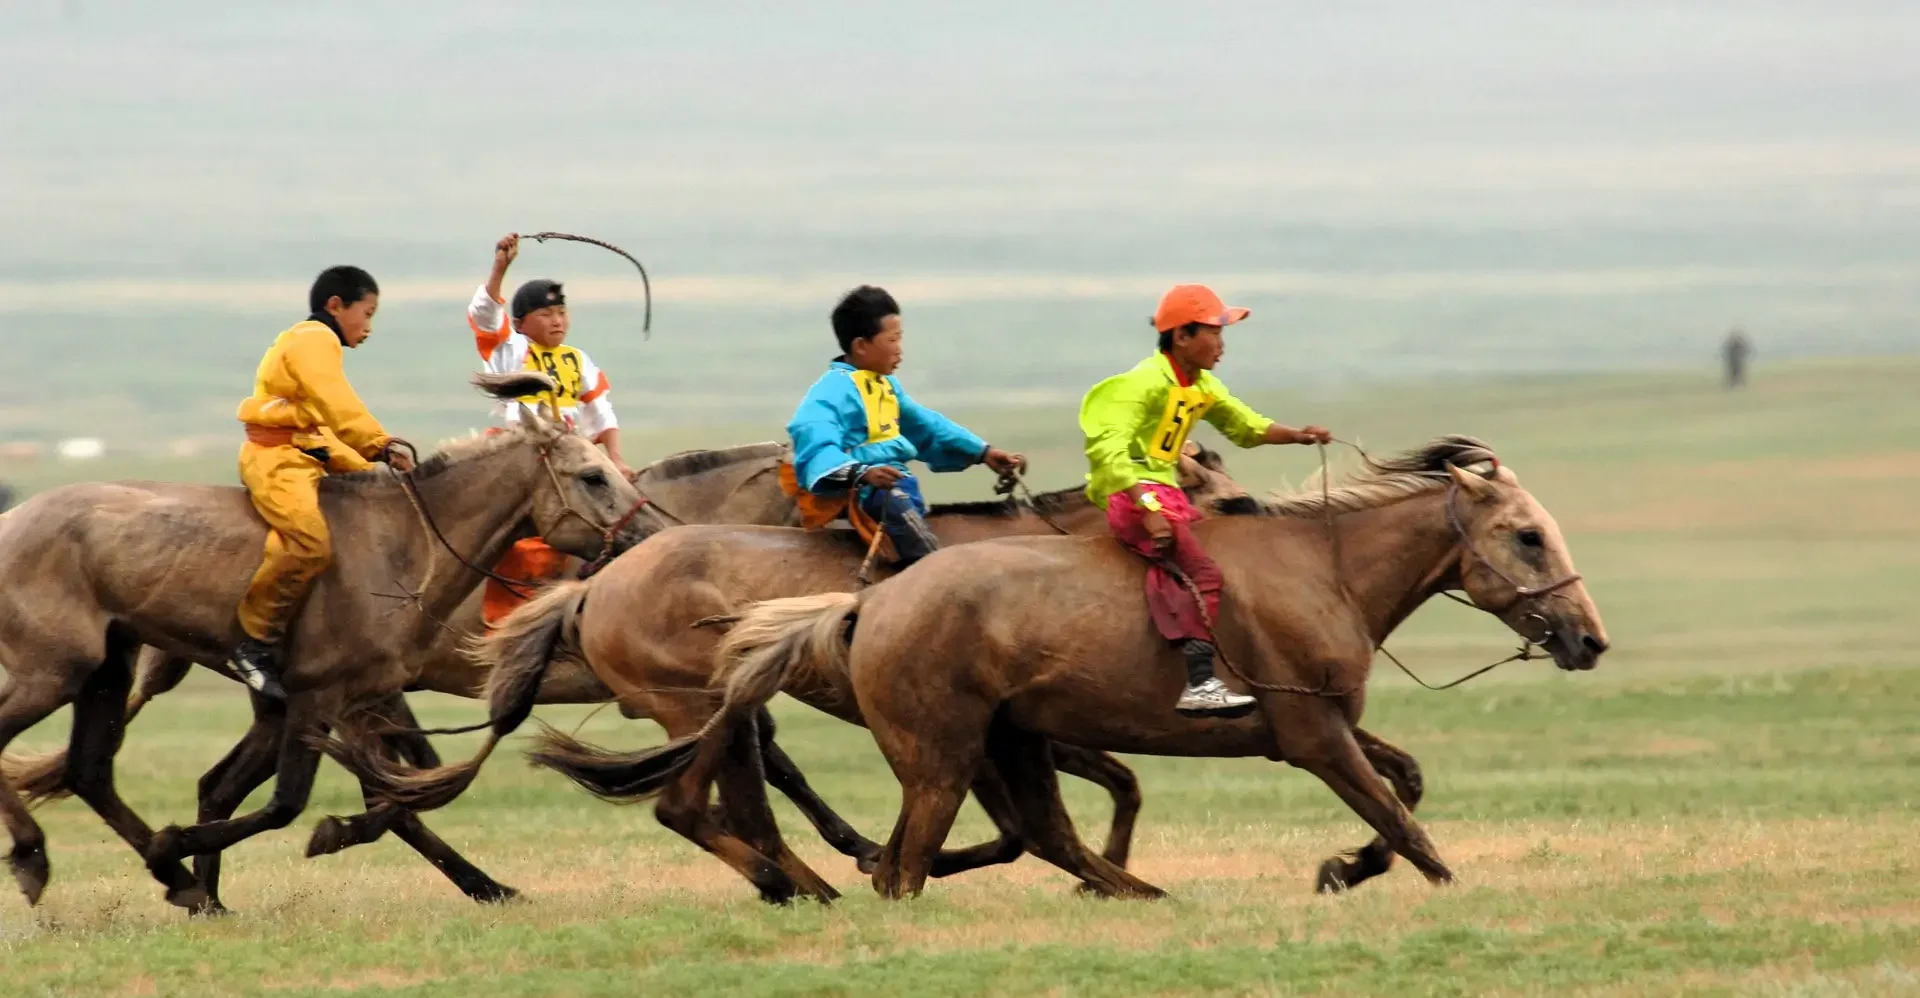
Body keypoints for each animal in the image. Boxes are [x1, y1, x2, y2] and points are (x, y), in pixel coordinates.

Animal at [0, 372, 660, 911]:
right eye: (592, 475)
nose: (650, 538)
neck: (404, 546)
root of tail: (13, 521)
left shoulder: (360, 701)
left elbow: (396, 796)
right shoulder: (319, 698)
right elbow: (291, 803)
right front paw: (179, 844)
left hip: (105, 670)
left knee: (92, 771)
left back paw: (188, 887)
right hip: (52, 672)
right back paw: (41, 859)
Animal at [337, 446, 1252, 903]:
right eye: (1222, 494)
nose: (1253, 511)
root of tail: (595, 586)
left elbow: (1102, 793)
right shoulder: (992, 724)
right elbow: (1032, 819)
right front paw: (896, 864)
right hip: (694, 709)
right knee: (699, 806)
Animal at [537, 436, 1611, 901]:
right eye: (1525, 535)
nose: (1588, 638)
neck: (1327, 571)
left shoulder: (1315, 724)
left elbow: (1405, 786)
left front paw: (1342, 870)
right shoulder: (1309, 736)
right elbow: (1402, 819)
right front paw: (1390, 872)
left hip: (970, 736)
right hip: (819, 729)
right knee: (746, 812)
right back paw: (820, 878)